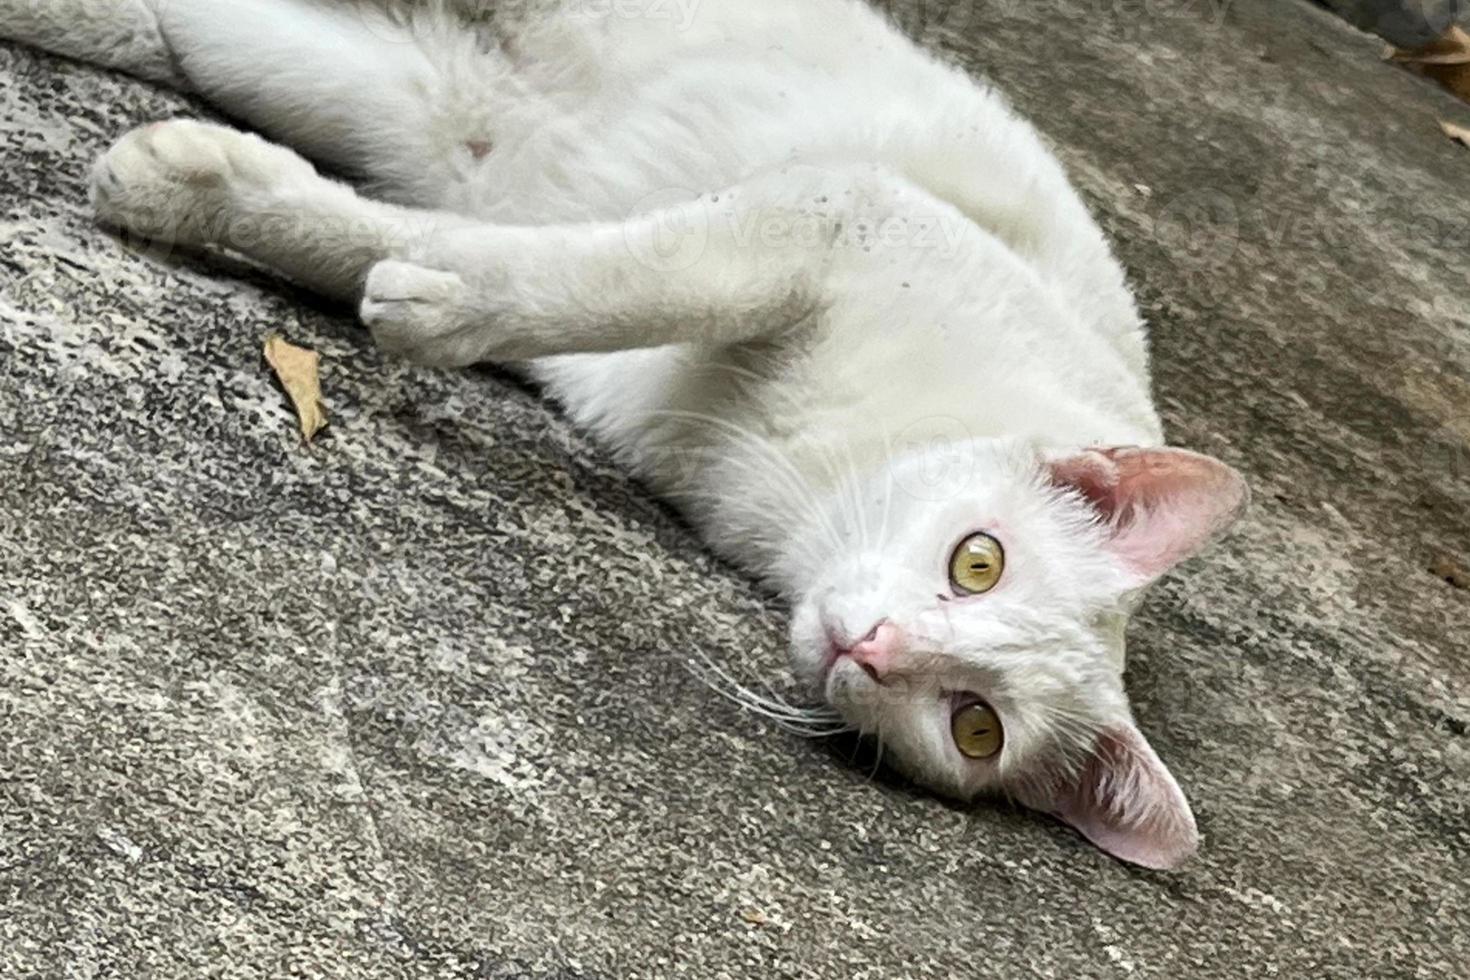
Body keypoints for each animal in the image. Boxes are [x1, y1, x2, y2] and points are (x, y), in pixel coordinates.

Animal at [2, 1, 1252, 875]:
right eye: (979, 558)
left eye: (975, 723)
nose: (876, 647)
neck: (802, 497)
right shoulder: (836, 216)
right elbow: (618, 278)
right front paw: (439, 302)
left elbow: (451, 247)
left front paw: (232, 202)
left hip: (378, 90)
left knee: (197, 31)